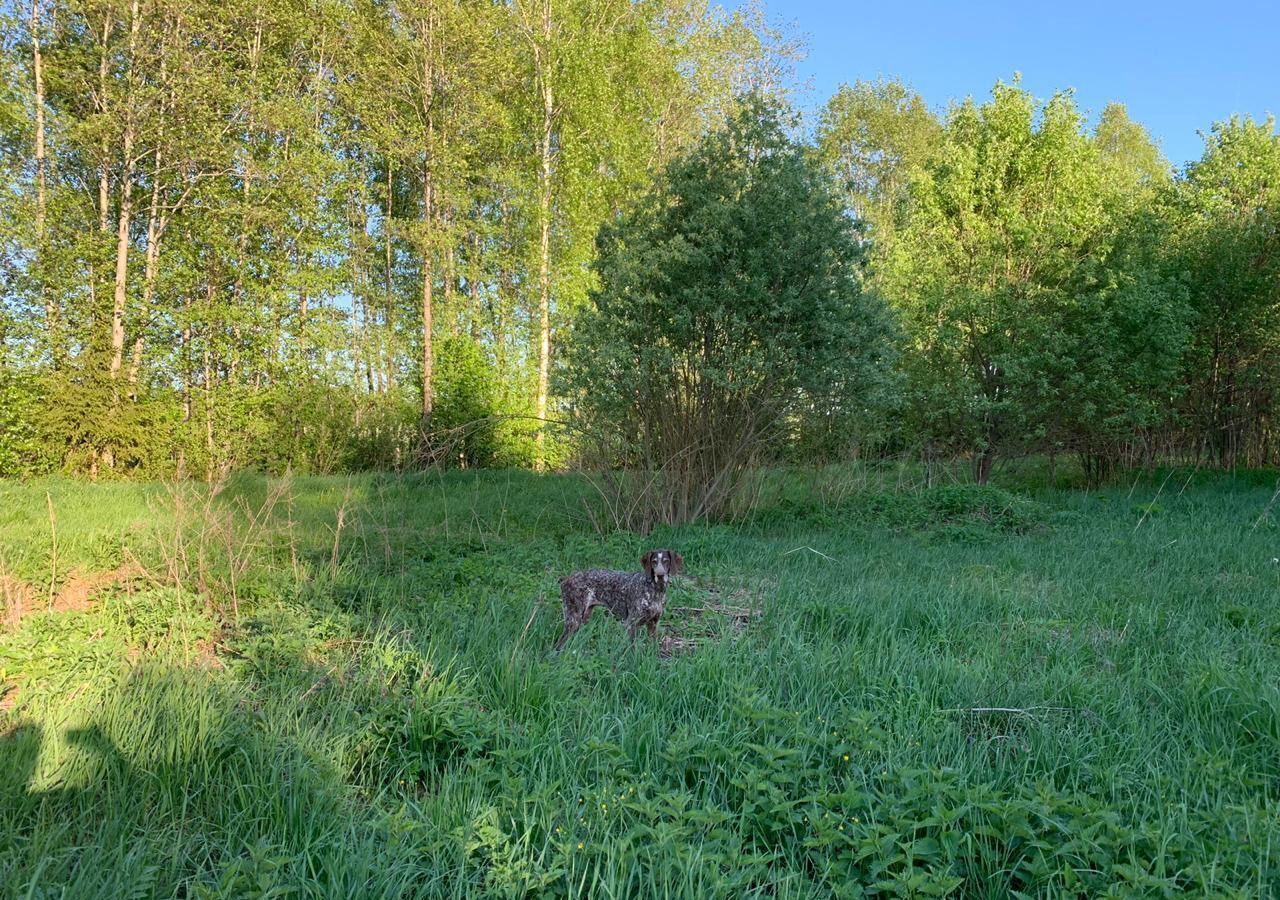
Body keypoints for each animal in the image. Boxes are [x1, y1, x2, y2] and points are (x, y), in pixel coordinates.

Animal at [555, 553, 686, 650]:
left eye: (666, 561)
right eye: (654, 561)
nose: (660, 575)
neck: (655, 590)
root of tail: (566, 579)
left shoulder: (653, 624)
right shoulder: (631, 624)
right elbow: (632, 649)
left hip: (584, 618)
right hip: (574, 620)